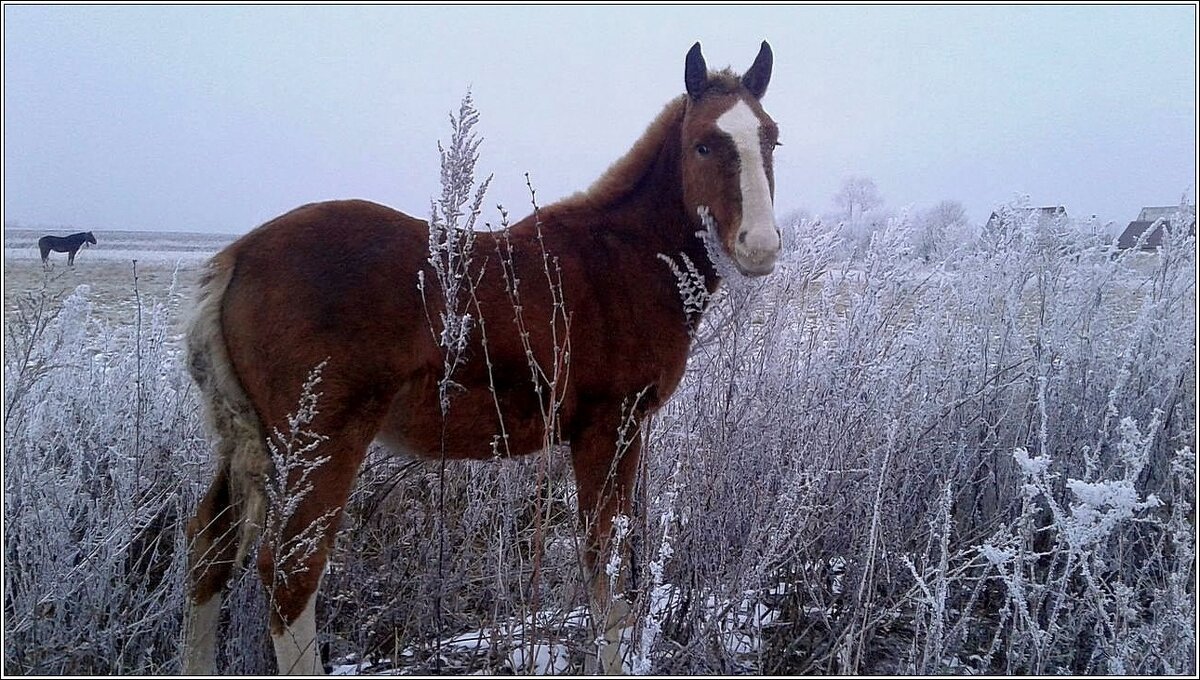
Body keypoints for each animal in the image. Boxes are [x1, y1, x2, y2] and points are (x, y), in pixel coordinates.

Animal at [177, 41, 777, 676]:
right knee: (291, 571)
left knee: (209, 551)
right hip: (320, 443)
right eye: (704, 144)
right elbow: (606, 575)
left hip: (252, 444)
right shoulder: (610, 426)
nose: (761, 247)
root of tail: (236, 259)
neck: (622, 258)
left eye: (771, 139)